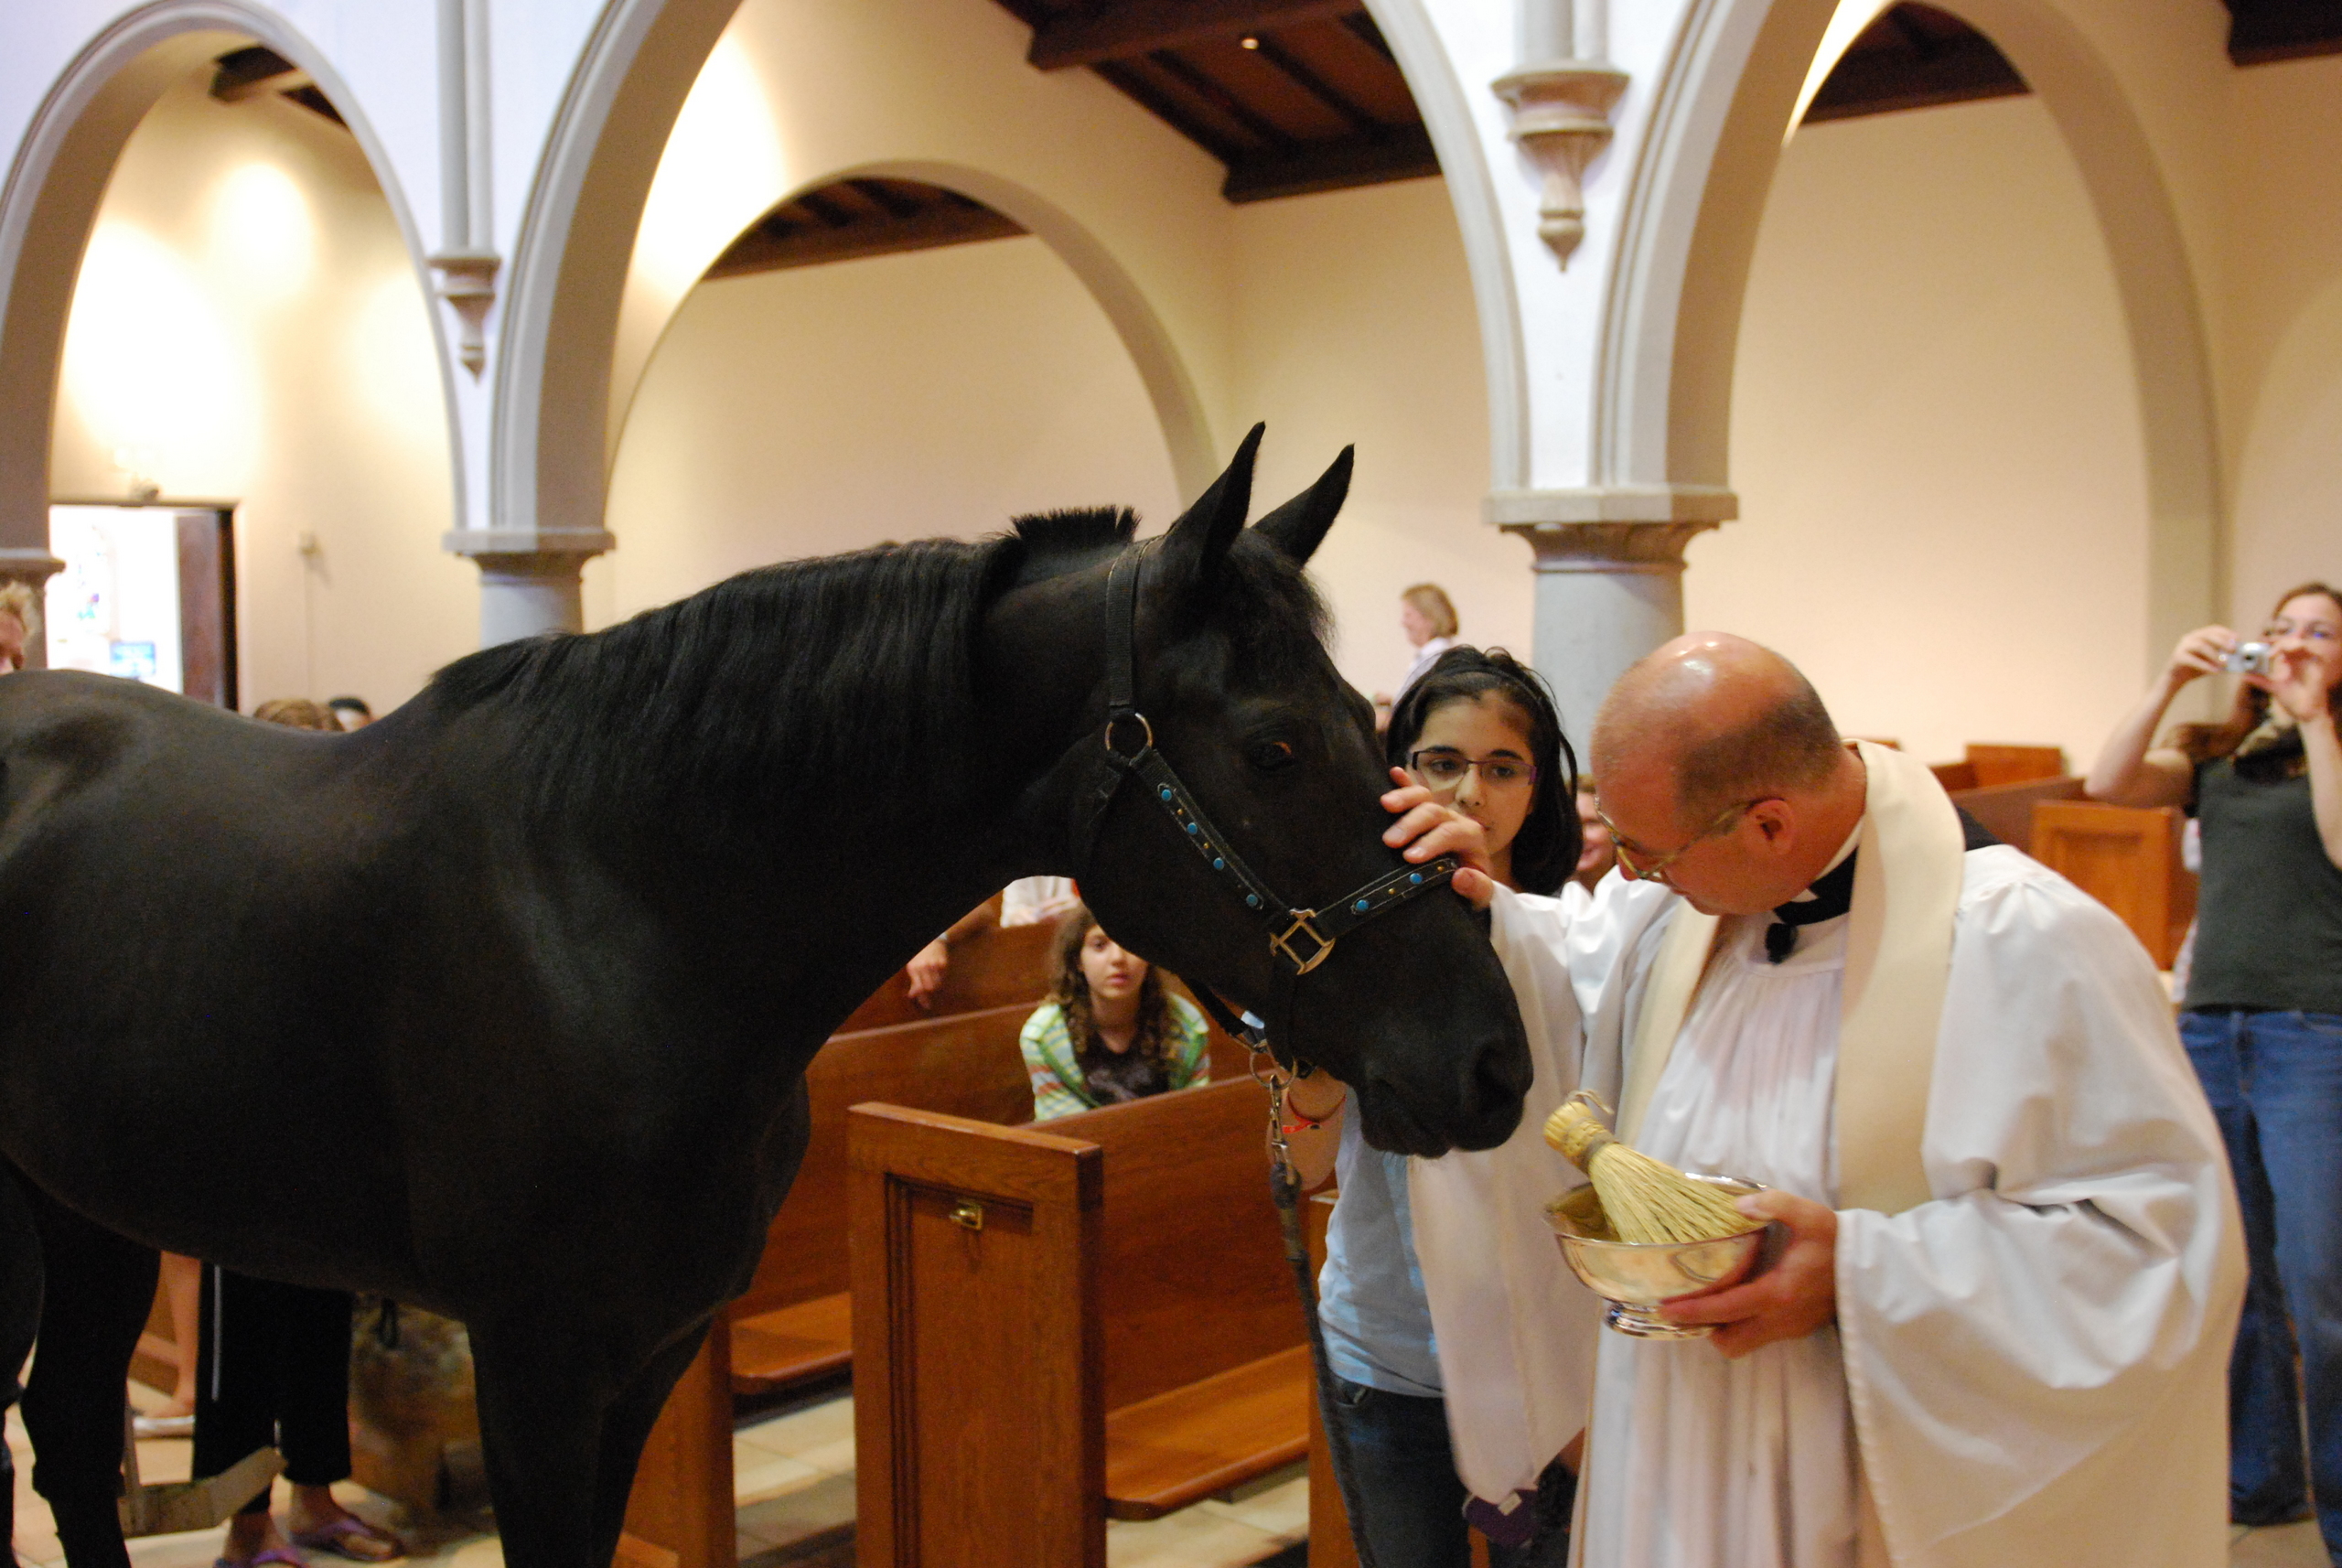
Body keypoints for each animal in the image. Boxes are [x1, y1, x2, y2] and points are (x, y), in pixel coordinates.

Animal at [0, 429, 1533, 1568]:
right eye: (1274, 747)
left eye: (1374, 722)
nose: (1494, 1065)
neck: (622, 901)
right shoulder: (536, 1363)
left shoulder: (652, 1353)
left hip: (89, 1209)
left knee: (68, 1435)